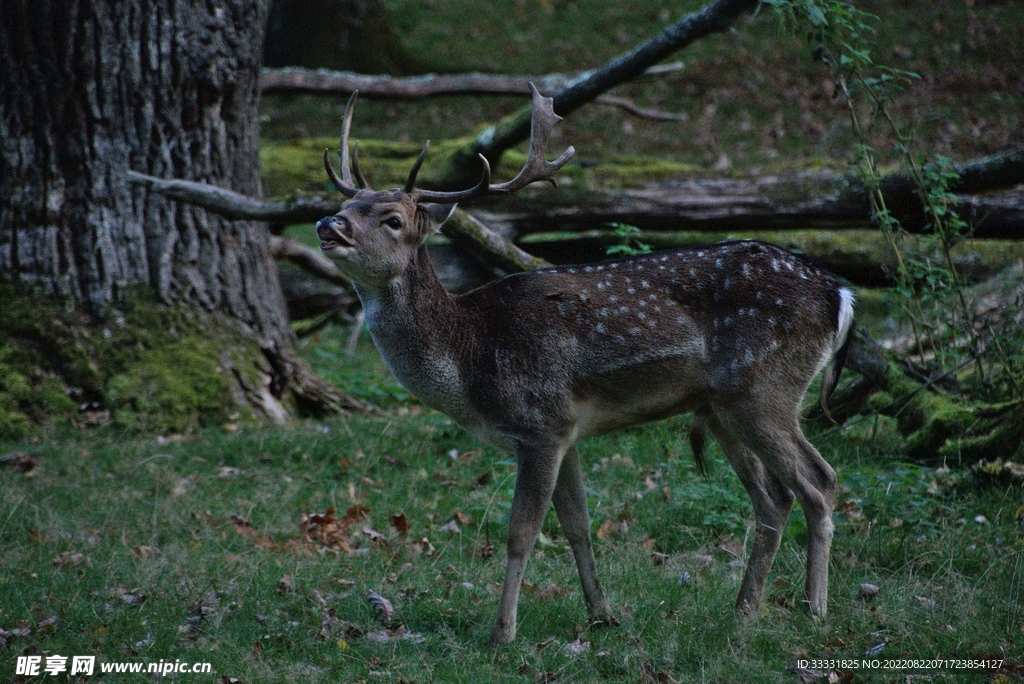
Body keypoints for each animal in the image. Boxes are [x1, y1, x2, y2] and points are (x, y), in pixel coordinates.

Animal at [315, 84, 855, 646]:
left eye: (393, 220)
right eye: (346, 203)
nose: (329, 224)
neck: (470, 358)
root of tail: (840, 295)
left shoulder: (541, 422)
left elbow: (521, 532)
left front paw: (502, 631)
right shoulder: (566, 430)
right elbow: (577, 523)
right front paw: (602, 614)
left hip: (764, 388)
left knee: (820, 481)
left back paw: (814, 609)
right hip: (725, 408)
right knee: (774, 499)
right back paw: (744, 611)